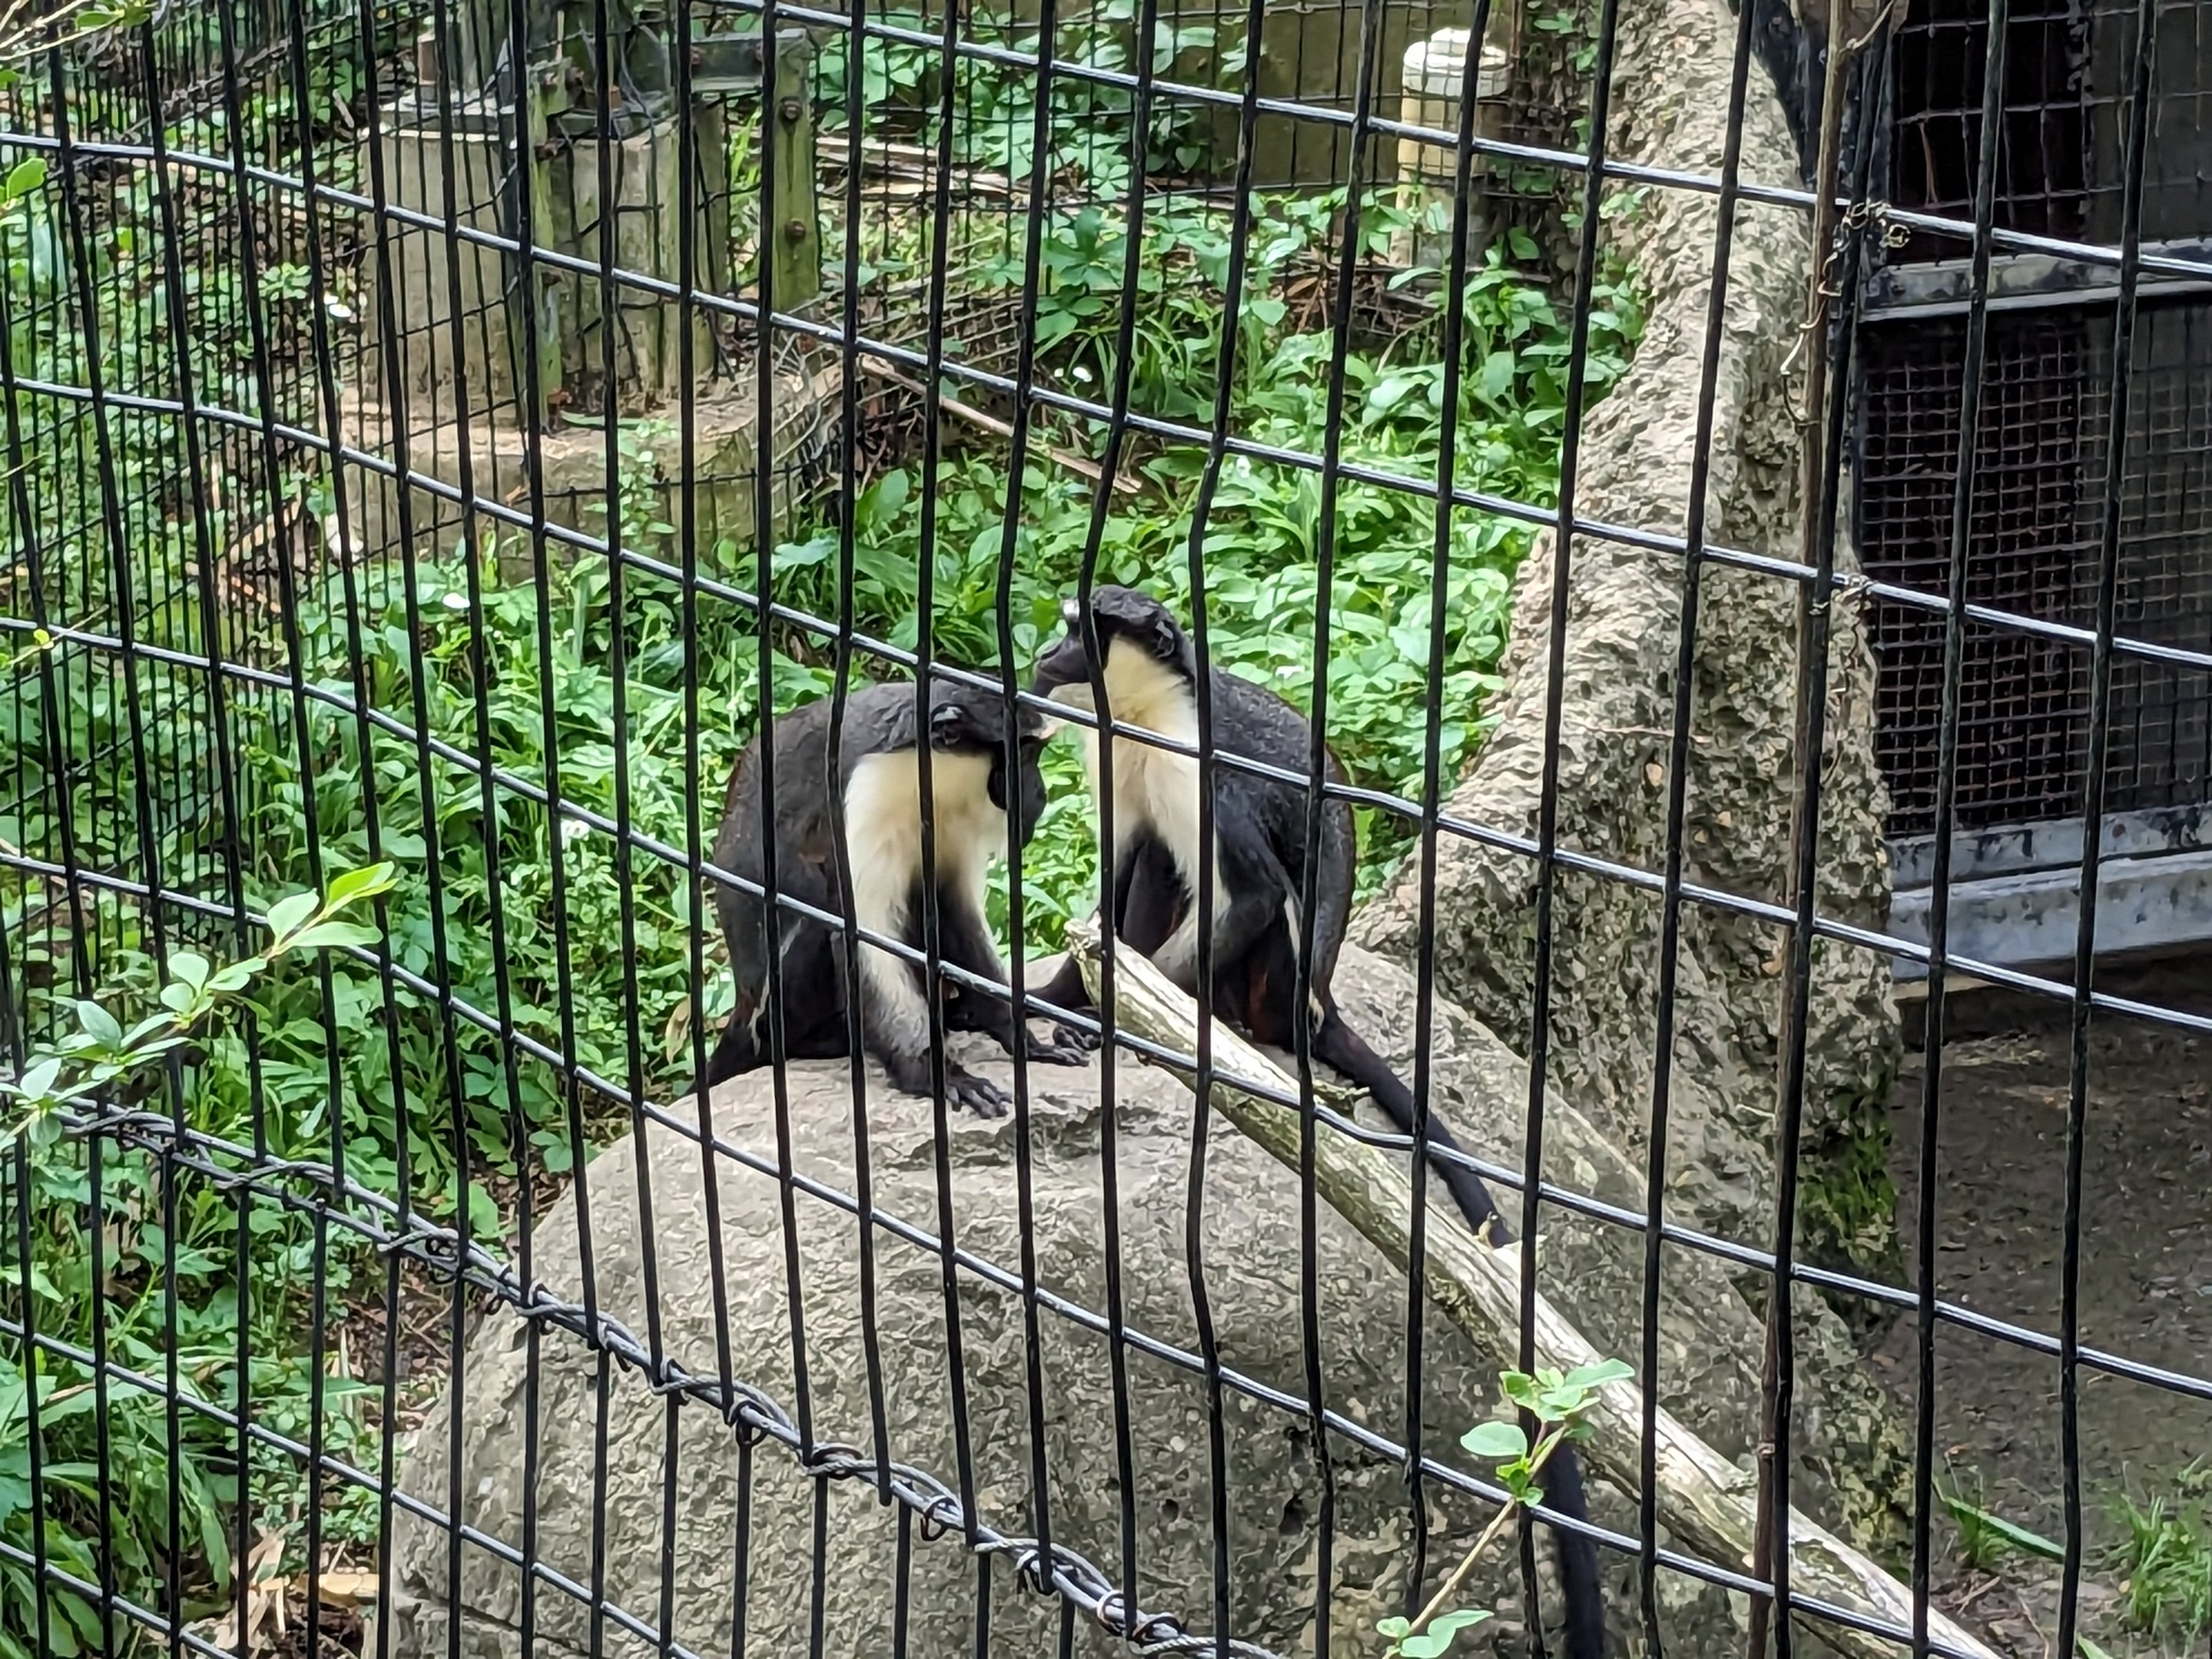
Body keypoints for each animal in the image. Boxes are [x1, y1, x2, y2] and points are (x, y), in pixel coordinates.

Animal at [702, 675, 1095, 1117]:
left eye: (1035, 752)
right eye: (1024, 753)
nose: (1039, 794)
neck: (928, 774)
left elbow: (953, 909)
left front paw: (1018, 1034)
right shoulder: (868, 793)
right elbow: (866, 938)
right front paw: (935, 1074)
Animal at [1027, 585, 1607, 1659]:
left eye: (1085, 631)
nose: (1046, 652)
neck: (1145, 709)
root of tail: (1315, 1007)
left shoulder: (1197, 762)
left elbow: (1253, 891)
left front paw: (1109, 1019)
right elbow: (1113, 888)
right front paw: (1045, 999)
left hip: (1269, 980)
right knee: (1148, 867)